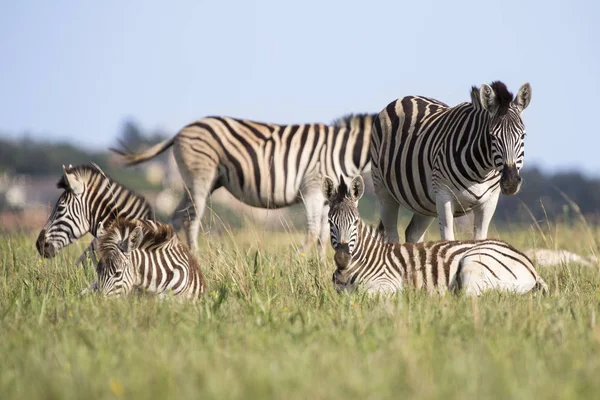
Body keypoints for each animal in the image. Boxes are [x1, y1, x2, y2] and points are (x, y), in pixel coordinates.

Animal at [111, 112, 376, 256]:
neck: (344, 149)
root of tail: (180, 132)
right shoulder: (312, 186)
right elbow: (313, 233)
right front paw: (299, 260)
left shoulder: (325, 197)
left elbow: (323, 234)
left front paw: (320, 266)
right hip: (200, 177)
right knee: (191, 217)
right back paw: (196, 255)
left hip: (203, 182)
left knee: (178, 216)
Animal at [324, 173, 548, 296]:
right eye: (330, 222)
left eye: (354, 222)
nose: (342, 258)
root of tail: (530, 266)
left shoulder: (387, 283)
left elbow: (367, 295)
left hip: (473, 265)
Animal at [372, 81, 532, 242]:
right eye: (492, 136)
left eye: (523, 136)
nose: (511, 182)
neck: (481, 173)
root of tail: (406, 97)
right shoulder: (444, 197)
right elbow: (448, 241)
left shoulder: (489, 203)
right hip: (384, 190)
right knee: (392, 235)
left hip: (425, 202)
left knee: (413, 233)